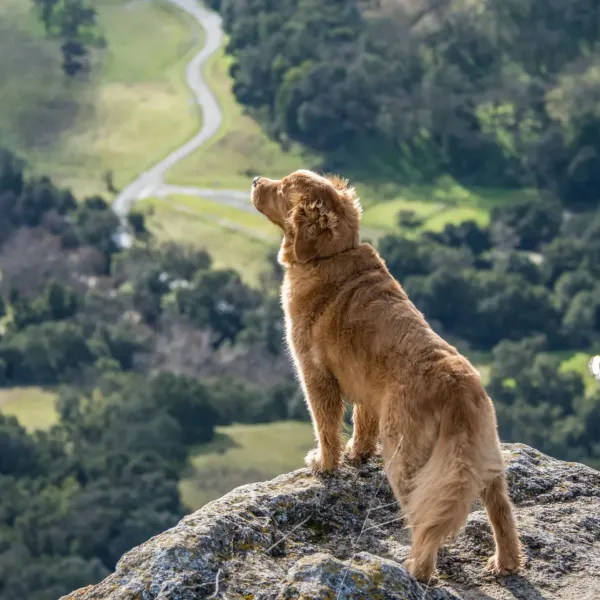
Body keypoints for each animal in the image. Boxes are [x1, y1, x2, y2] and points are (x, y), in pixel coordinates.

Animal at [251, 169, 524, 580]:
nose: (255, 181)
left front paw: (324, 463)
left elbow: (326, 426)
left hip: (405, 457)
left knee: (428, 519)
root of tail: (457, 385)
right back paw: (505, 562)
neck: (332, 254)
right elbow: (362, 423)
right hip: (485, 457)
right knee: (501, 511)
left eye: (282, 187)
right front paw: (357, 454)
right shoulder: (365, 385)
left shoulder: (316, 374)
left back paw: (417, 569)